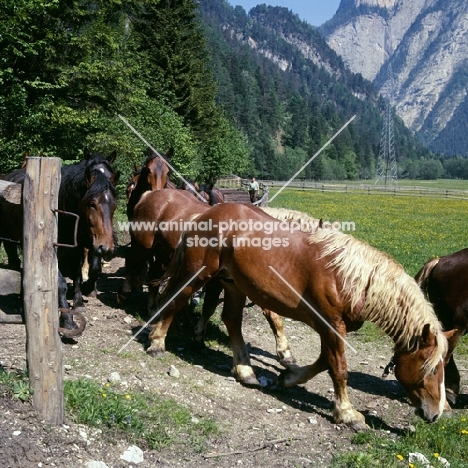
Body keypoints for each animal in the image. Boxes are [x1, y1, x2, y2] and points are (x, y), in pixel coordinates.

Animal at [149, 203, 454, 430]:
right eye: (431, 367)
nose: (436, 414)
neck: (347, 277)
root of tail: (206, 213)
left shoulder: (329, 329)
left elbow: (323, 362)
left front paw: (288, 377)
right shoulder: (332, 326)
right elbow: (338, 369)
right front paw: (347, 413)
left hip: (232, 284)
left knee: (232, 320)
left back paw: (245, 371)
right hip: (198, 272)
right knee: (175, 300)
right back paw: (157, 341)